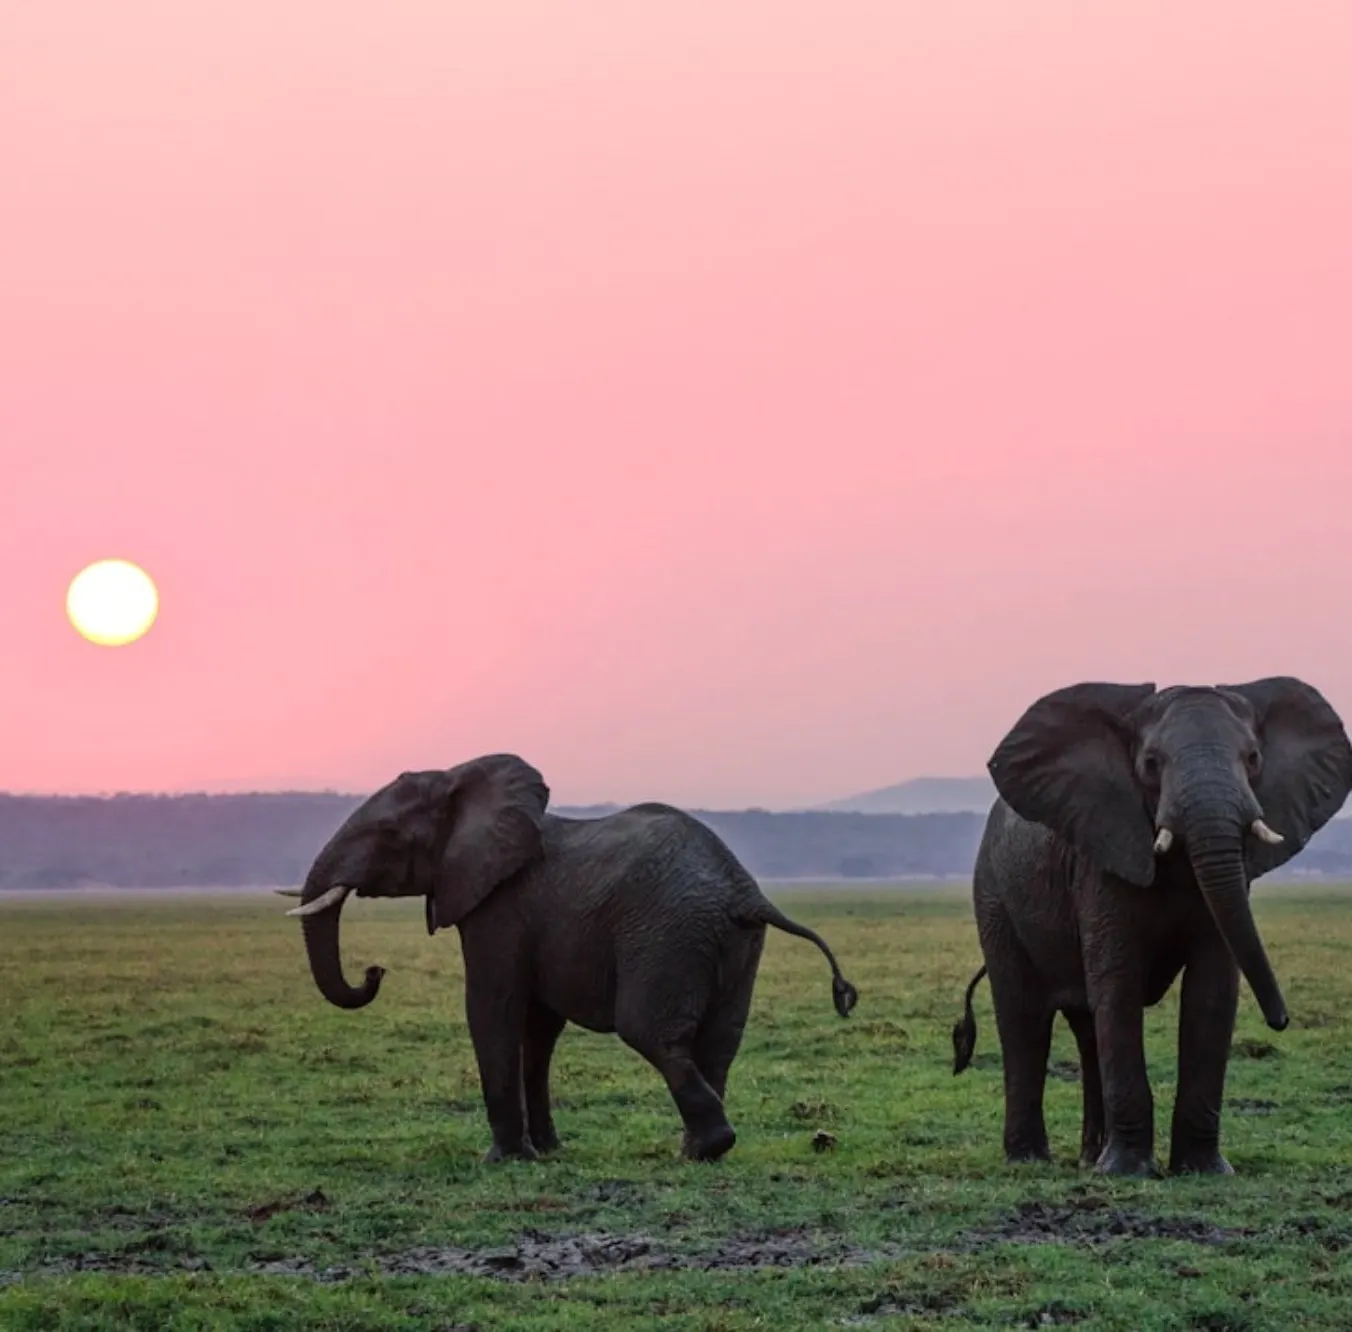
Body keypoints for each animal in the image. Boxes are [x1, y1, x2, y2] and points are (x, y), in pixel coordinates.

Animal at [280, 753, 859, 1163]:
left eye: (388, 836)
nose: (374, 971)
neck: (460, 779)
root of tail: (744, 891)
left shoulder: (500, 906)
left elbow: (492, 1007)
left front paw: (503, 1160)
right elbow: (539, 1029)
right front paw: (548, 1152)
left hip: (668, 933)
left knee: (651, 1032)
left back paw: (705, 1148)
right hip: (733, 942)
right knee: (718, 1042)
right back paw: (698, 1151)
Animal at [951, 677, 1352, 1178]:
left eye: (1254, 758)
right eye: (1150, 764)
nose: (1281, 1020)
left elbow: (1212, 989)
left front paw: (1203, 1171)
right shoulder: (1102, 855)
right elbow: (1118, 982)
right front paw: (1127, 1173)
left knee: (1087, 1027)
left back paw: (1089, 1159)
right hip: (994, 896)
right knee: (1025, 1018)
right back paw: (1031, 1161)